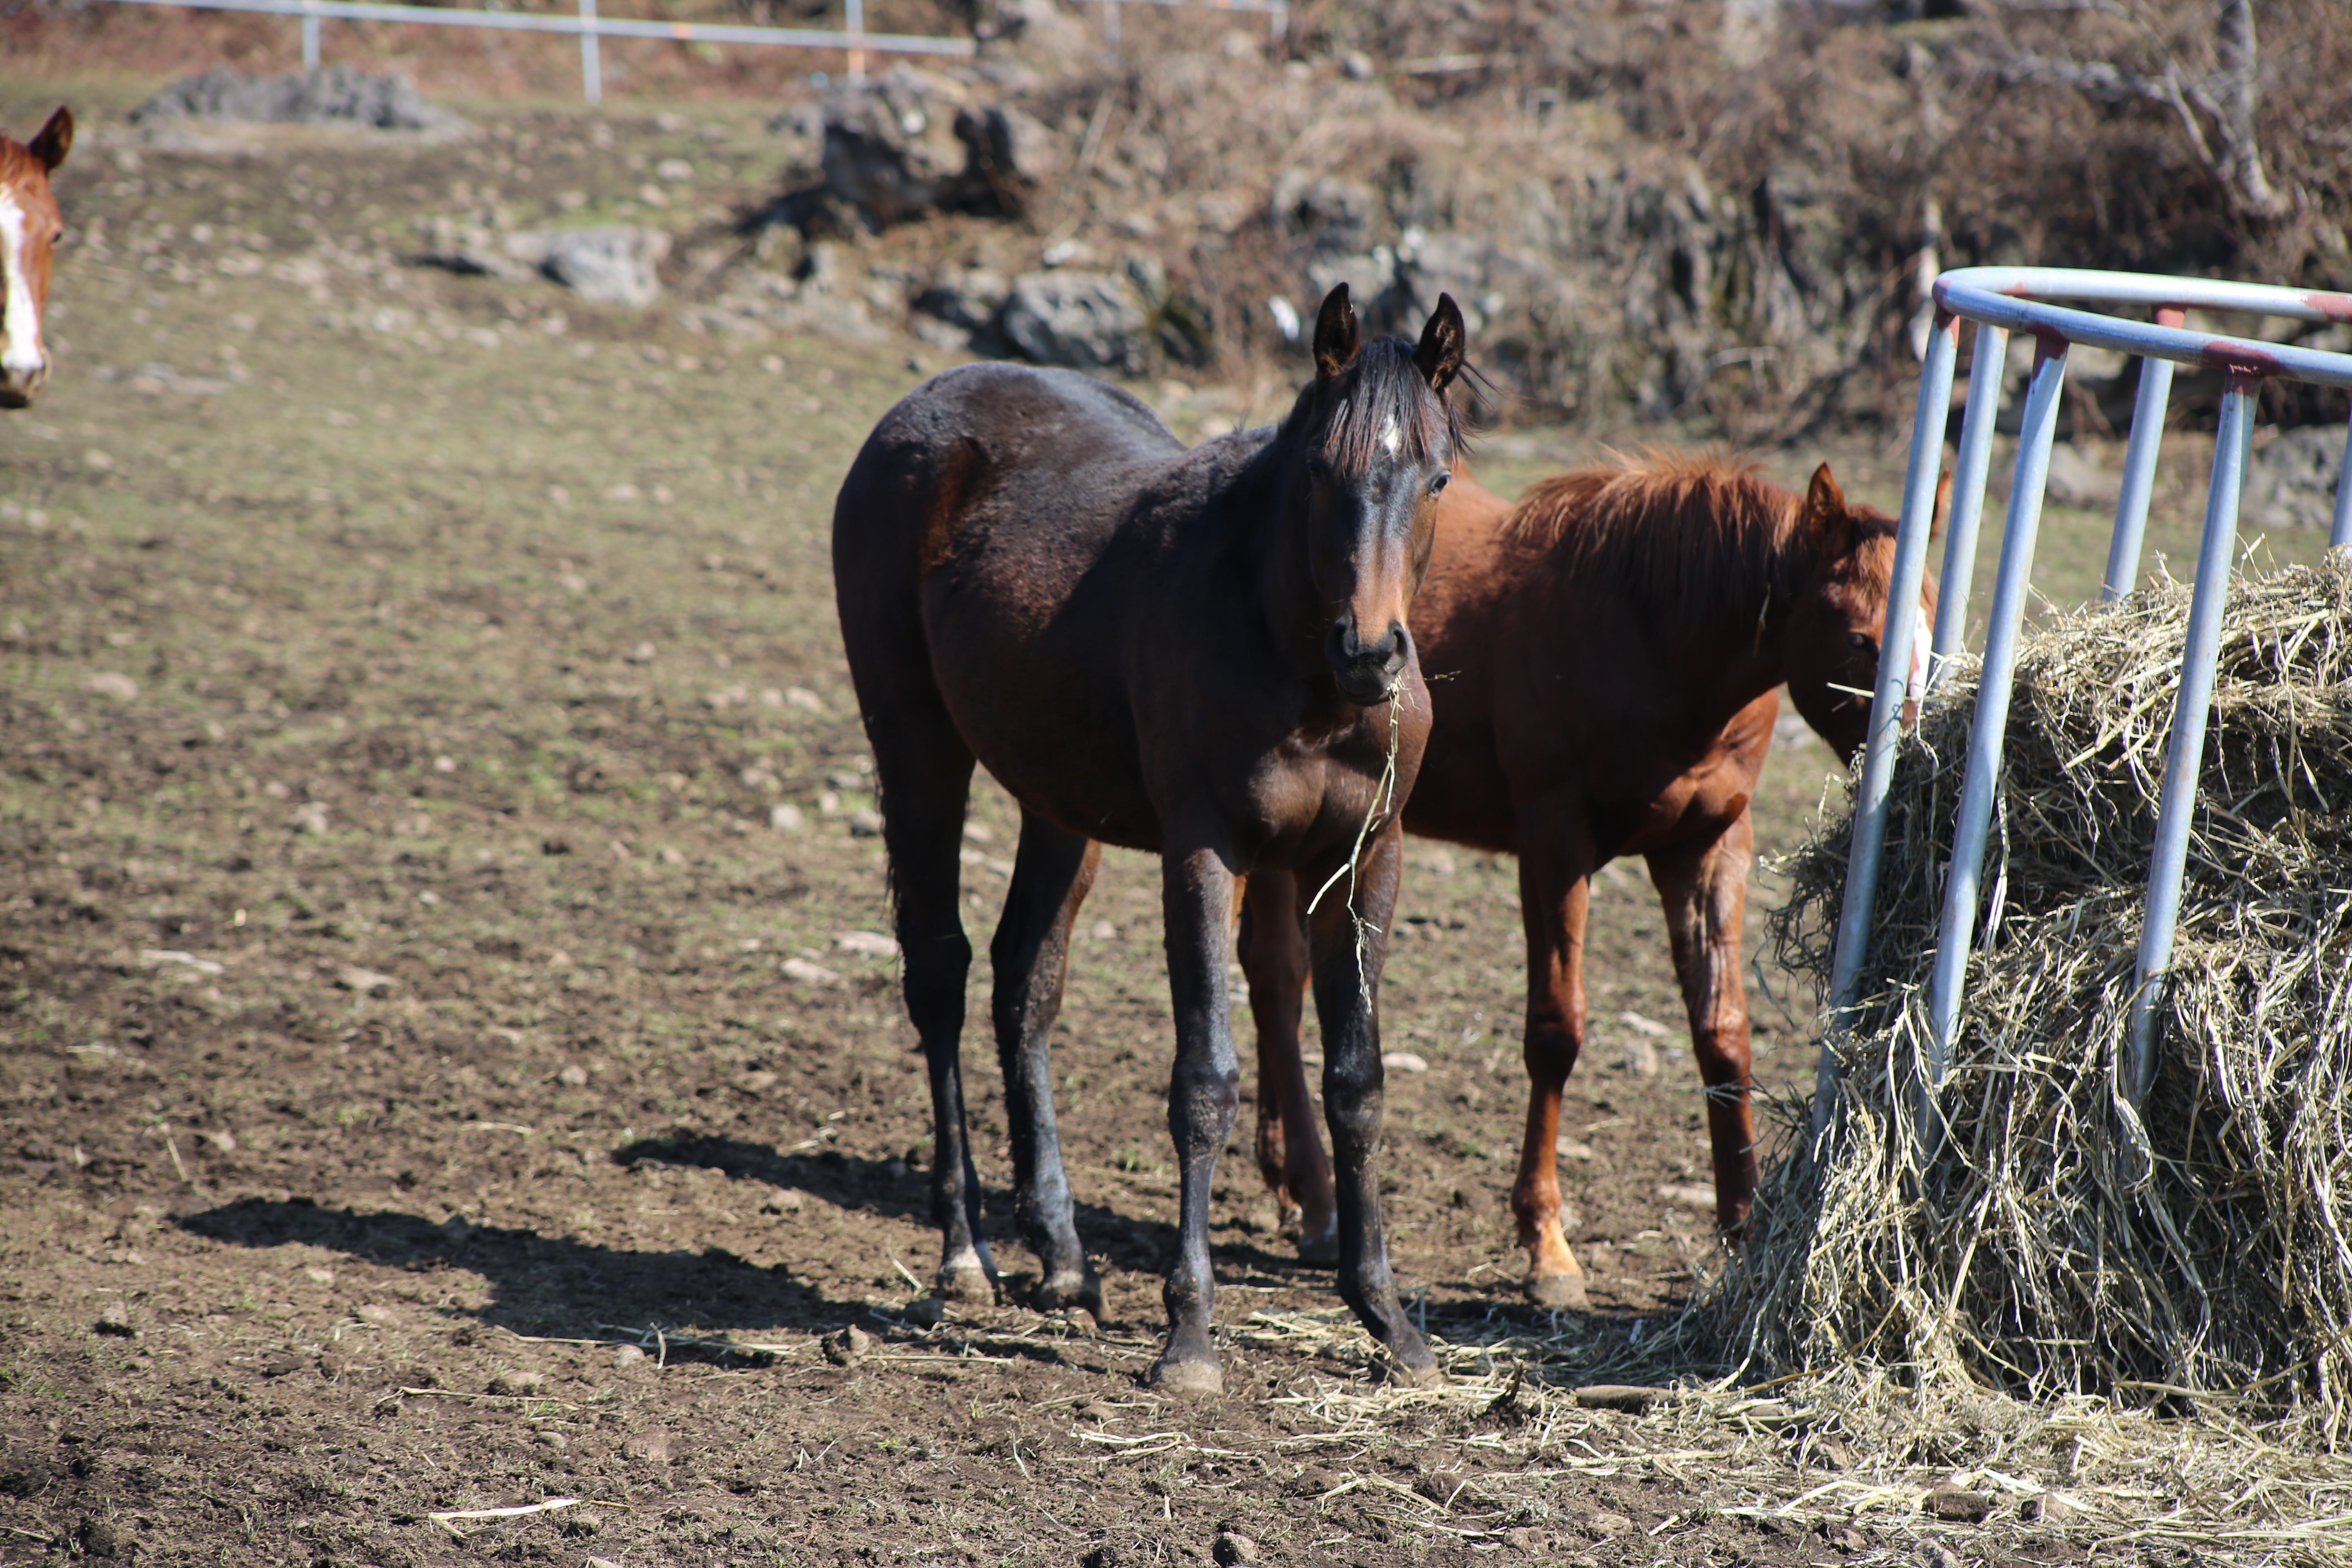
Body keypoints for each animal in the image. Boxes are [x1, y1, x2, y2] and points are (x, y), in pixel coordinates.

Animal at [837, 288, 1468, 1392]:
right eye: (1320, 470)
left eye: (1436, 478)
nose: (1368, 651)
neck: (1287, 651)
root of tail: (918, 408)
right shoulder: (1204, 850)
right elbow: (1205, 1080)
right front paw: (1189, 1338)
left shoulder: (1366, 861)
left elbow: (1357, 1085)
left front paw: (1389, 1321)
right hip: (916, 753)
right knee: (940, 975)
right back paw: (966, 1252)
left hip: (1056, 808)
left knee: (1024, 982)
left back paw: (1063, 1258)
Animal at [1242, 454, 1938, 1316]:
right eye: (1860, 640)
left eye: (1933, 624)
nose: (1921, 761)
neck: (1651, 637)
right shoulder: (1554, 844)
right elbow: (1557, 1030)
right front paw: (1547, 1246)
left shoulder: (1707, 848)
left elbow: (1722, 1031)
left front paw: (1743, 1229)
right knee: (1275, 977)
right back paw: (1314, 1196)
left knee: (1279, 975)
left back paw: (1292, 1183)